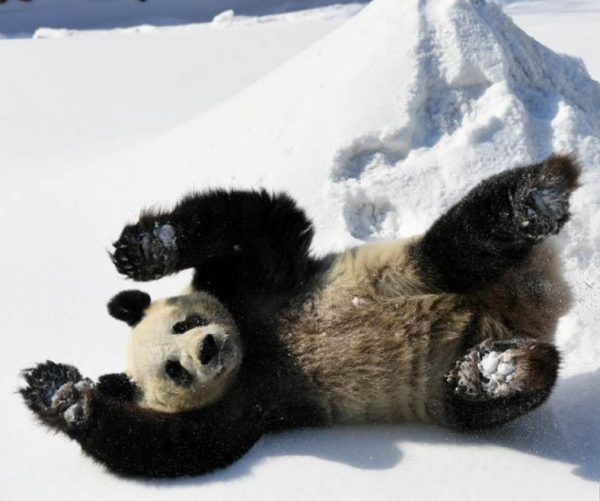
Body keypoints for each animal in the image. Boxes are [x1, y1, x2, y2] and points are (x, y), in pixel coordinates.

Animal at [21, 154, 580, 478]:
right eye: (174, 370)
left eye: (184, 325)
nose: (207, 348)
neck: (255, 345)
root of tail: (531, 306)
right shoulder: (247, 404)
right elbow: (178, 446)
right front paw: (63, 395)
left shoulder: (257, 289)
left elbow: (264, 223)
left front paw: (149, 247)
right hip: (440, 388)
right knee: (482, 400)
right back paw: (498, 371)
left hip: (413, 270)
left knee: (463, 238)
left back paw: (536, 196)